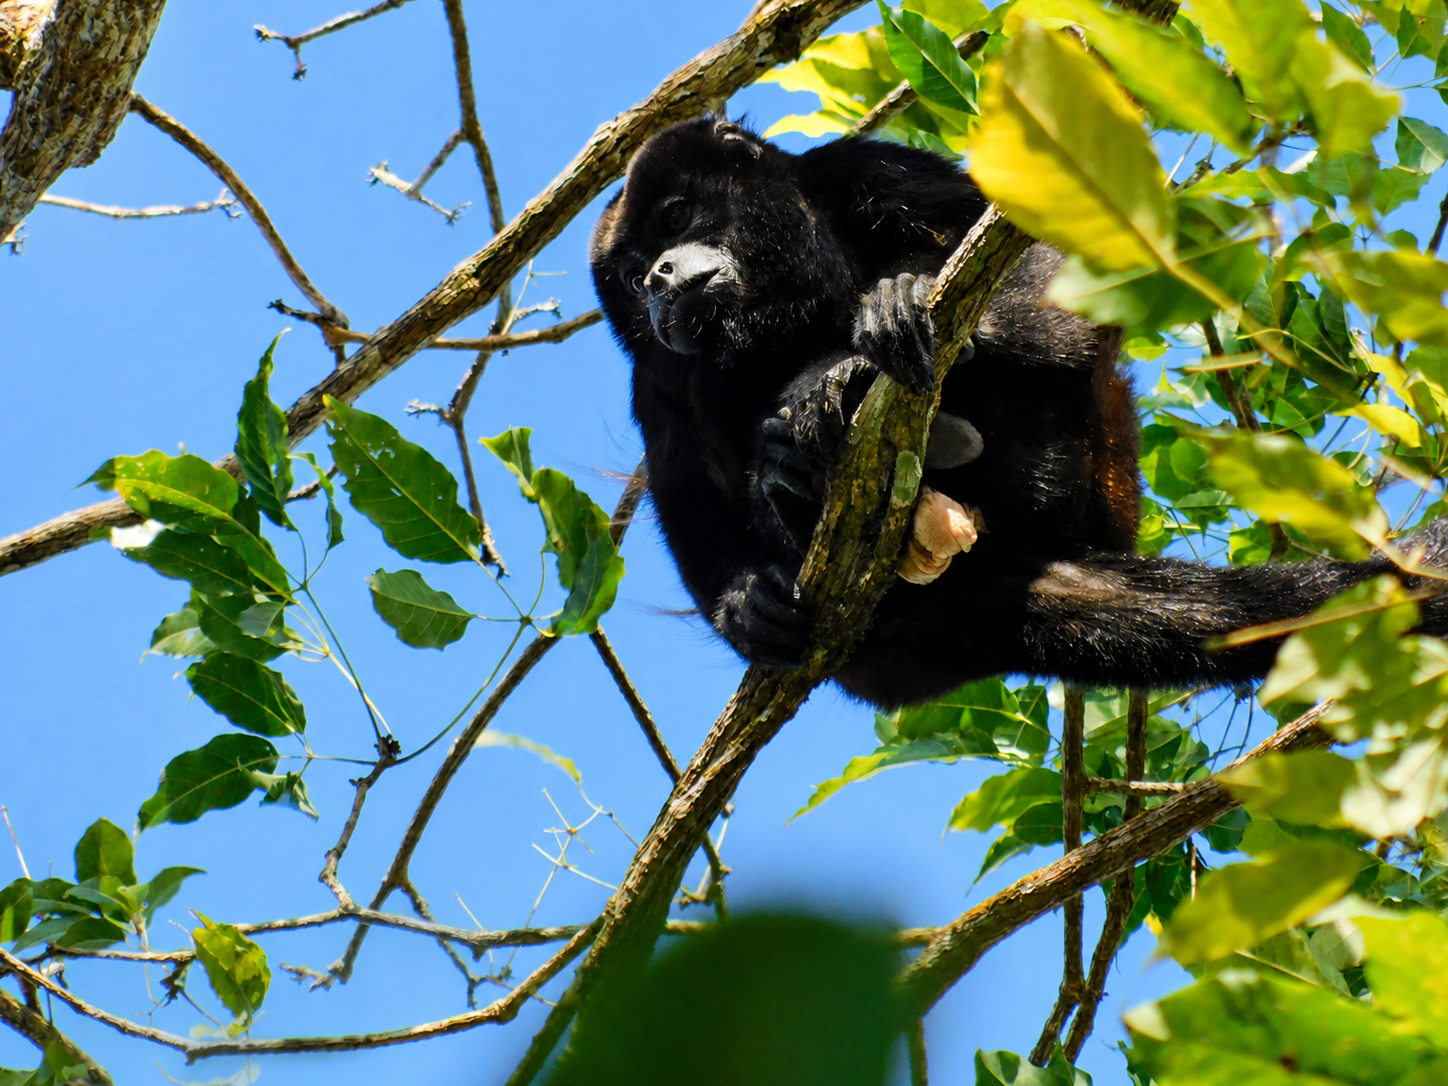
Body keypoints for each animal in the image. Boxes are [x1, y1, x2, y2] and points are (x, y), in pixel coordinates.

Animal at [589, 117, 1448, 708]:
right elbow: (685, 497)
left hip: (1088, 457)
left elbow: (1041, 246)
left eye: (675, 218)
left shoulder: (864, 167)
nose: (660, 279)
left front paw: (884, 319)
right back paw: (802, 478)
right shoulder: (648, 384)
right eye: (631, 277)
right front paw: (745, 603)